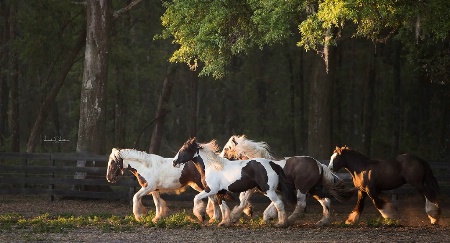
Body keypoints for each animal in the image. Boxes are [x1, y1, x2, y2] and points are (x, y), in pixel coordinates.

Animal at [219, 134, 356, 225]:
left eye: (226, 148)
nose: (219, 159)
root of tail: (319, 165)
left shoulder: (257, 188)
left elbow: (243, 199)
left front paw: (234, 216)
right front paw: (265, 215)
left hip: (302, 189)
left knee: (301, 205)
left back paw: (289, 220)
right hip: (313, 189)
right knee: (326, 201)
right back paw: (322, 222)